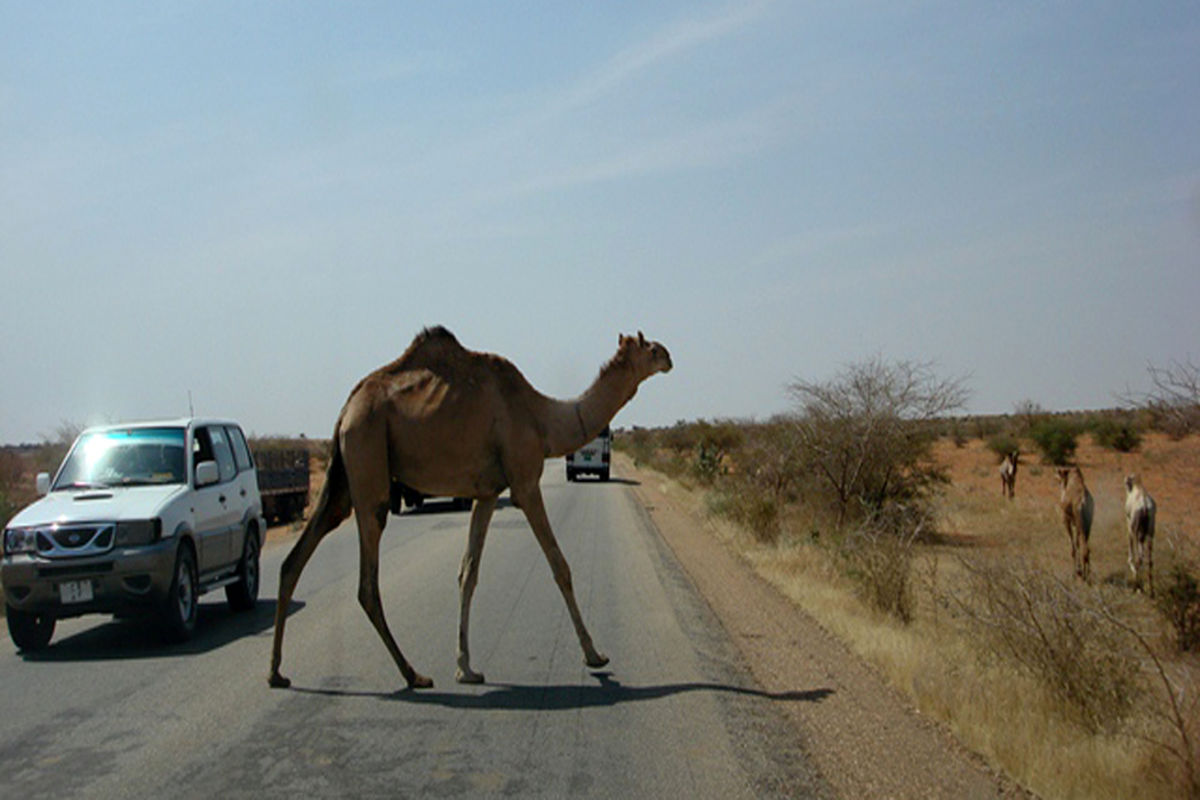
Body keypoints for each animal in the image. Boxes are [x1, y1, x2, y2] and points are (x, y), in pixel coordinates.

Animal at [266, 326, 672, 690]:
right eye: (650, 347)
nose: (669, 356)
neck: (541, 419)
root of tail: (347, 408)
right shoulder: (525, 482)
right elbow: (560, 565)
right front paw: (595, 655)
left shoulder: (487, 493)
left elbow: (468, 572)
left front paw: (466, 668)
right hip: (368, 454)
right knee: (367, 582)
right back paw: (413, 675)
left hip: (343, 476)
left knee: (298, 556)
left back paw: (277, 673)